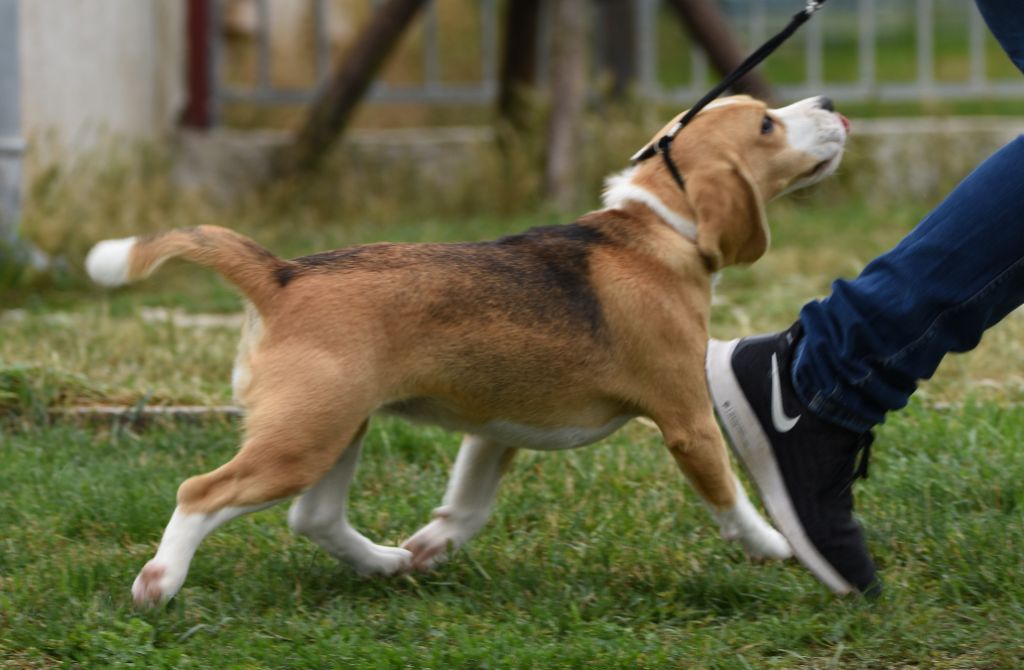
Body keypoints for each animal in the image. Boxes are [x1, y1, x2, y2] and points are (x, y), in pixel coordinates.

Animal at [86, 95, 847, 610]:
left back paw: (384, 562)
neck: (656, 225)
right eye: (766, 126)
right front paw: (772, 544)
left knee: (315, 516)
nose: (830, 105)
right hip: (302, 439)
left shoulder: (497, 427)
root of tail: (282, 275)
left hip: (336, 426)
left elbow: (470, 501)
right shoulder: (687, 421)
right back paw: (160, 581)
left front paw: (434, 544)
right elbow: (729, 497)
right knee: (200, 492)